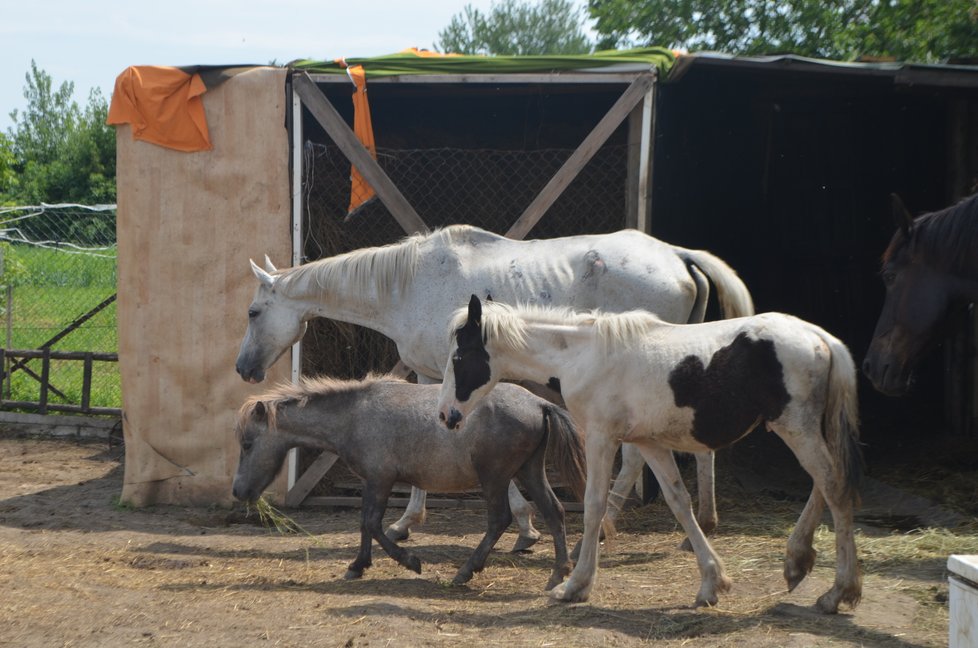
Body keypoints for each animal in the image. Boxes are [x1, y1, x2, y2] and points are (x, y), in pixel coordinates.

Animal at [236, 225, 756, 548]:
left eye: (254, 312)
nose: (244, 368)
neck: (408, 285)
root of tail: (676, 255)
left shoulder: (439, 377)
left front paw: (410, 523)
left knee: (631, 460)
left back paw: (608, 523)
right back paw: (701, 523)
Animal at [438, 298, 856, 612]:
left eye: (458, 357)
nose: (446, 415)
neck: (584, 356)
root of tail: (821, 337)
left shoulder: (602, 437)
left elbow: (594, 505)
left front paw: (574, 586)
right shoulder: (648, 443)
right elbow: (679, 502)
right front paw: (711, 583)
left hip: (796, 427)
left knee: (833, 485)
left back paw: (839, 592)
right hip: (807, 429)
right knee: (823, 485)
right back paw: (797, 563)